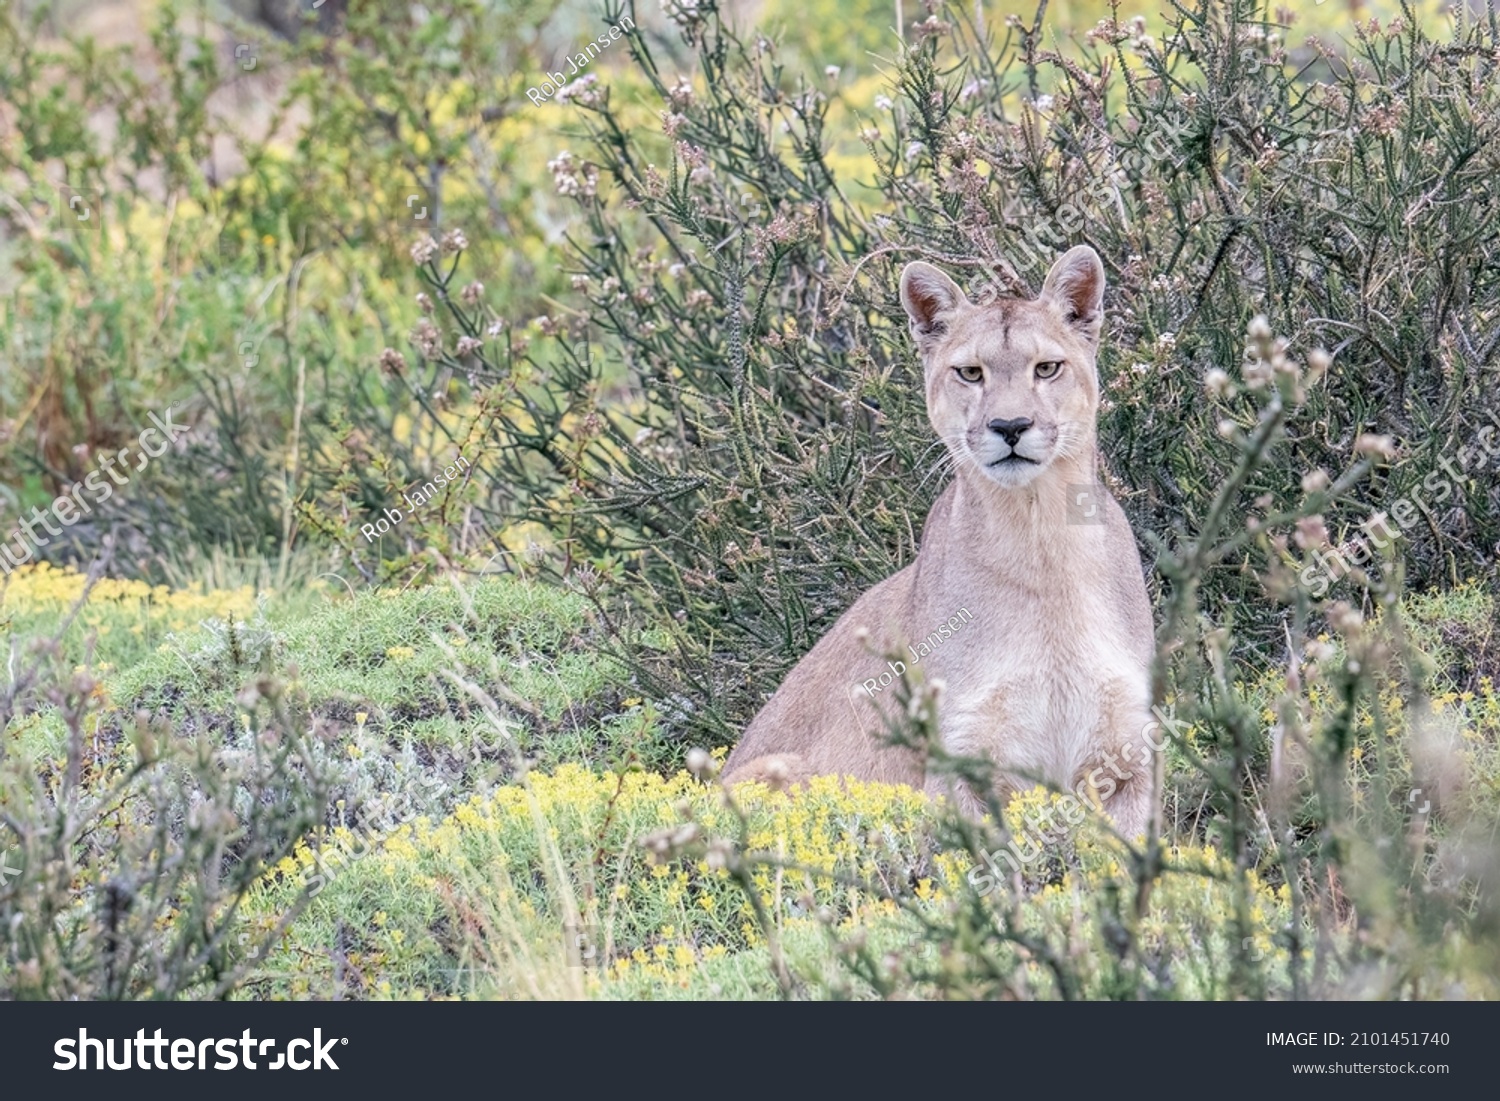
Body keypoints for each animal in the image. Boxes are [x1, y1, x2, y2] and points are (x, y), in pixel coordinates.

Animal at [720, 247, 1152, 834]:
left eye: (1047, 367)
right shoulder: (963, 759)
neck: (1040, 539)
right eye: (970, 372)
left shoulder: (1125, 754)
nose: (1010, 425)